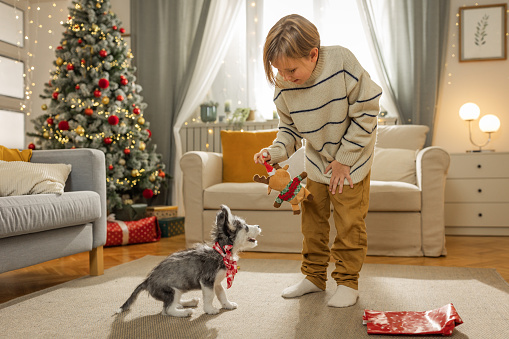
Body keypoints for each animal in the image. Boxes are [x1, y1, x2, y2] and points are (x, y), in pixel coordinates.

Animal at [114, 205, 258, 318]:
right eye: (246, 227)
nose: (258, 225)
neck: (221, 253)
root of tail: (147, 281)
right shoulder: (207, 281)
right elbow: (210, 296)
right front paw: (210, 310)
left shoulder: (216, 283)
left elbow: (222, 294)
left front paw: (227, 305)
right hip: (171, 291)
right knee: (167, 310)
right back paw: (184, 312)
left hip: (178, 289)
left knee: (175, 303)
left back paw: (189, 302)